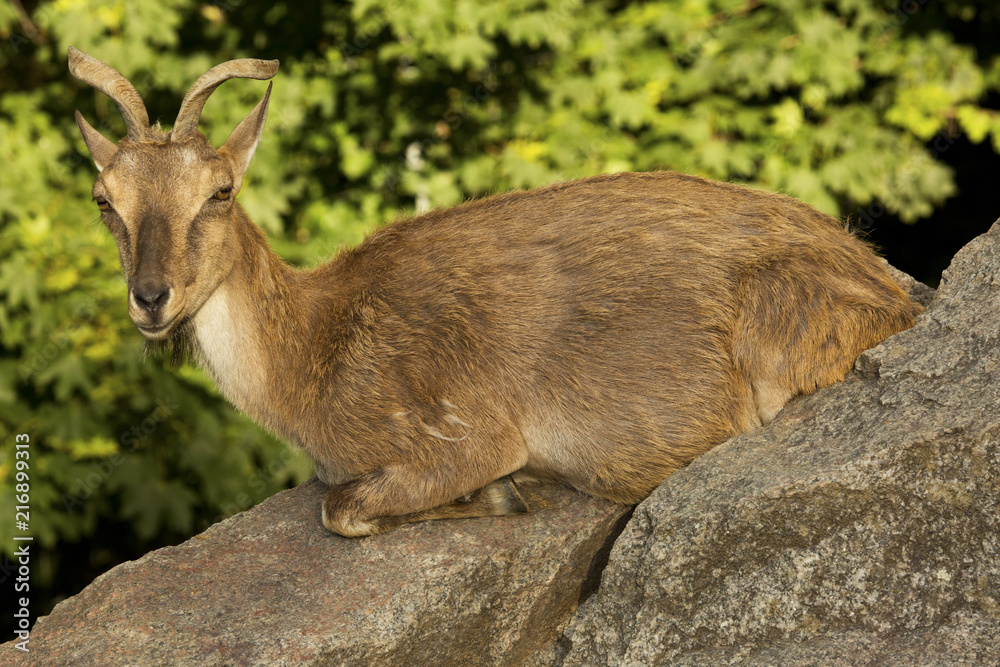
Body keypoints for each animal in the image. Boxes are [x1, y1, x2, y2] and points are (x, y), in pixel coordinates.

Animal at [69, 47, 921, 537]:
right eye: (104, 199)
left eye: (218, 191)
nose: (152, 296)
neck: (309, 356)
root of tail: (891, 287)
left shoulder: (464, 432)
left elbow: (342, 508)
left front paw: (506, 496)